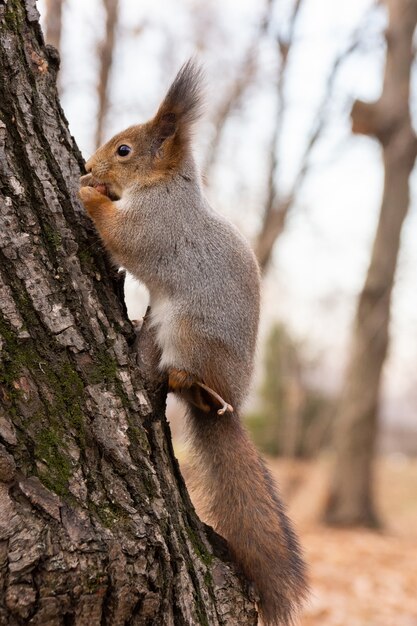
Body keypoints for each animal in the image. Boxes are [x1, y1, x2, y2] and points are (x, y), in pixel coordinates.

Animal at [79, 59, 306, 624]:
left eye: (124, 150)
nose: (89, 164)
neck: (165, 187)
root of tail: (232, 398)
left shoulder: (156, 225)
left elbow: (123, 236)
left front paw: (87, 192)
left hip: (191, 337)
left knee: (194, 386)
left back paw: (196, 388)